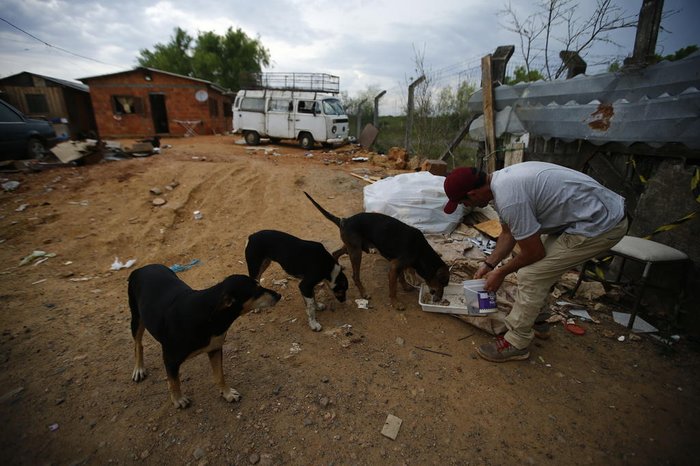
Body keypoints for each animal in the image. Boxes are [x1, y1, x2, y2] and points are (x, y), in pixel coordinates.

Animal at [127, 264, 280, 410]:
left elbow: (219, 376)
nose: (279, 295)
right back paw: (138, 369)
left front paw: (227, 393)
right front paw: (178, 399)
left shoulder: (215, 348)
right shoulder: (170, 359)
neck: (210, 316)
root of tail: (141, 268)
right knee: (138, 344)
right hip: (137, 317)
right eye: (257, 291)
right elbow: (174, 382)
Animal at [304, 190, 448, 310]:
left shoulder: (398, 265)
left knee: (335, 253)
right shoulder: (395, 267)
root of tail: (344, 220)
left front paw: (406, 287)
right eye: (443, 283)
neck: (421, 252)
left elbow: (401, 277)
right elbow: (393, 289)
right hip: (356, 252)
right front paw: (396, 303)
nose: (439, 300)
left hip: (352, 247)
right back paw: (364, 293)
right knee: (355, 276)